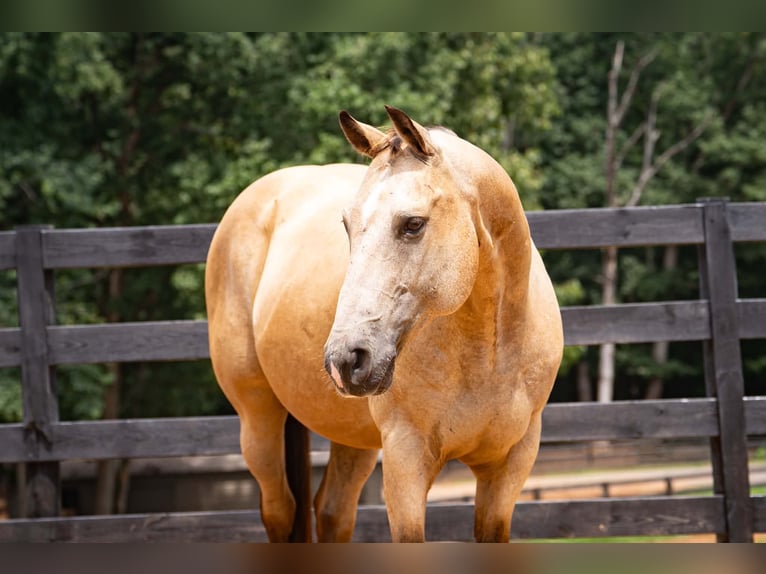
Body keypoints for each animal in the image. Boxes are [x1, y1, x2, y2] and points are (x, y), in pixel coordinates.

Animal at [205, 105, 563, 542]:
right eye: (346, 225)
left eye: (413, 223)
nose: (345, 358)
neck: (487, 355)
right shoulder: (405, 460)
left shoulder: (509, 468)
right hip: (258, 417)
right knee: (281, 511)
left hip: (352, 437)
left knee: (333, 511)